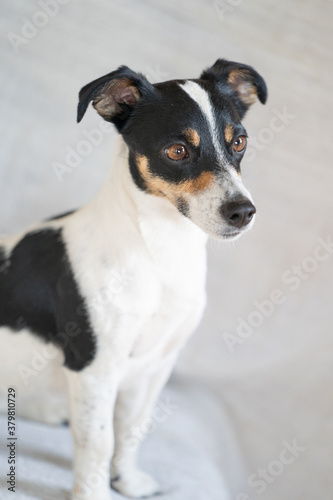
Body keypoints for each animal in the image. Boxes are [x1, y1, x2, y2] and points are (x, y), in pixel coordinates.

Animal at [0, 59, 264, 500]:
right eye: (177, 150)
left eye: (239, 142)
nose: (243, 212)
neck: (159, 254)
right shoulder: (94, 369)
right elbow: (98, 440)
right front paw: (93, 493)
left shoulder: (153, 366)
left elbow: (131, 430)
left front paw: (126, 481)